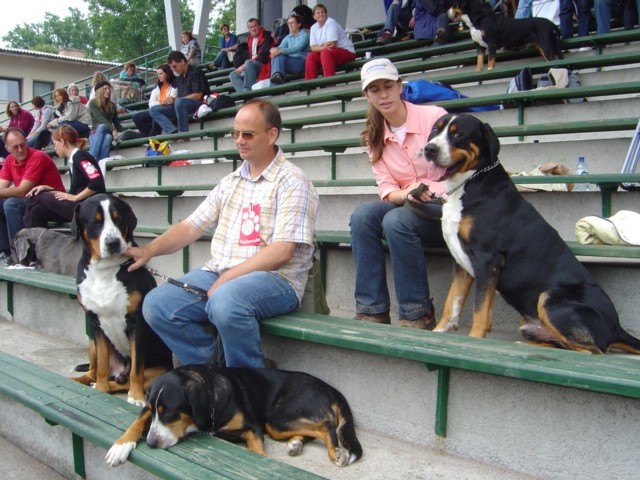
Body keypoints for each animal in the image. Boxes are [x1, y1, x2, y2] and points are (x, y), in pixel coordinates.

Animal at [70, 195, 172, 404]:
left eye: (119, 219)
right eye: (95, 222)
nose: (113, 242)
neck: (106, 270)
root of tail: (118, 372)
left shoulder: (137, 322)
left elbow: (136, 368)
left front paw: (136, 396)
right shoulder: (95, 321)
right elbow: (102, 365)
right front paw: (101, 389)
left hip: (159, 370)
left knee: (125, 380)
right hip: (92, 344)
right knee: (93, 371)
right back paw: (83, 381)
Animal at [107, 366, 362, 466]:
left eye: (169, 412)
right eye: (155, 411)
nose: (151, 443)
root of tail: (330, 388)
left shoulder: (253, 427)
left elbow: (257, 452)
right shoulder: (146, 409)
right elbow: (136, 423)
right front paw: (120, 446)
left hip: (276, 420)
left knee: (326, 426)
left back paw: (335, 452)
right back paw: (296, 443)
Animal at [424, 111, 640, 352]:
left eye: (458, 134)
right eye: (435, 130)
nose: (429, 149)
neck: (470, 182)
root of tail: (616, 327)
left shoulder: (488, 260)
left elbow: (479, 310)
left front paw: (474, 340)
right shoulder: (460, 262)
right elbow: (452, 302)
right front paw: (439, 331)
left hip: (549, 297)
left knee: (591, 351)